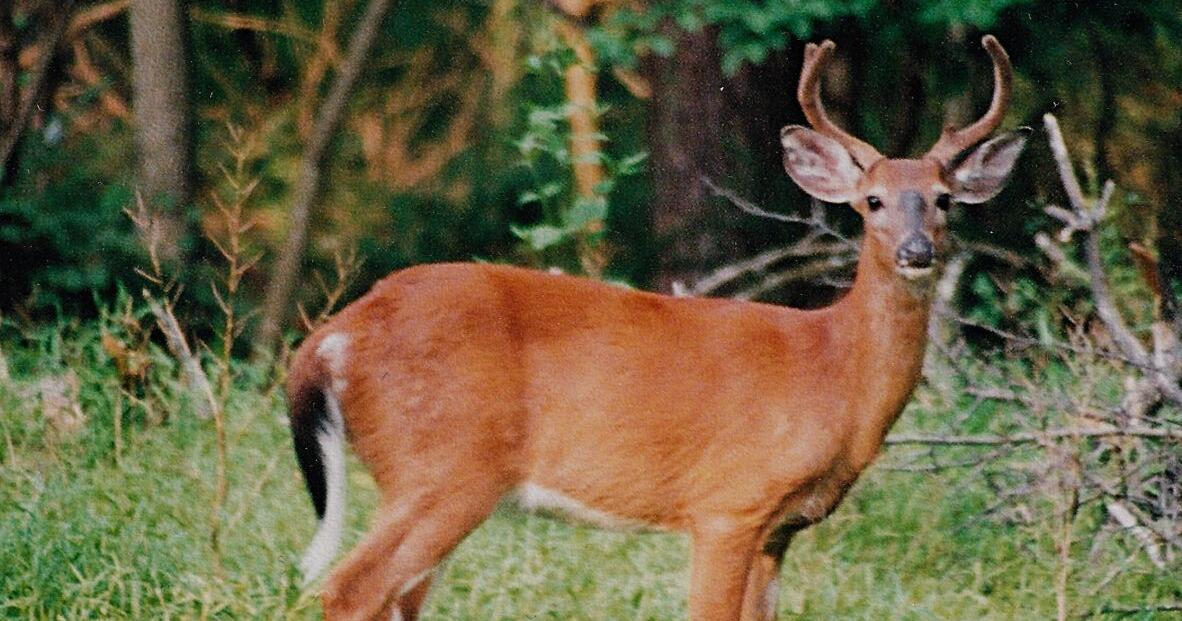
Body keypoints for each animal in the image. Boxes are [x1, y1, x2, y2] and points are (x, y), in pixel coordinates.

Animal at [286, 35, 1030, 621]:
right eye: (872, 201)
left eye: (943, 200)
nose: (916, 252)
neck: (831, 368)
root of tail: (333, 336)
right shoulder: (728, 503)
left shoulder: (777, 531)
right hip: (442, 468)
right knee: (349, 588)